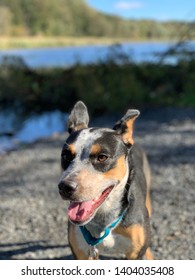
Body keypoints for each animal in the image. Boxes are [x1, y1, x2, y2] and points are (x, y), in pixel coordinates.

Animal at [57, 101, 152, 260]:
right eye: (66, 155)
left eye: (102, 157)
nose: (65, 187)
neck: (103, 220)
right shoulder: (82, 253)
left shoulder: (134, 254)